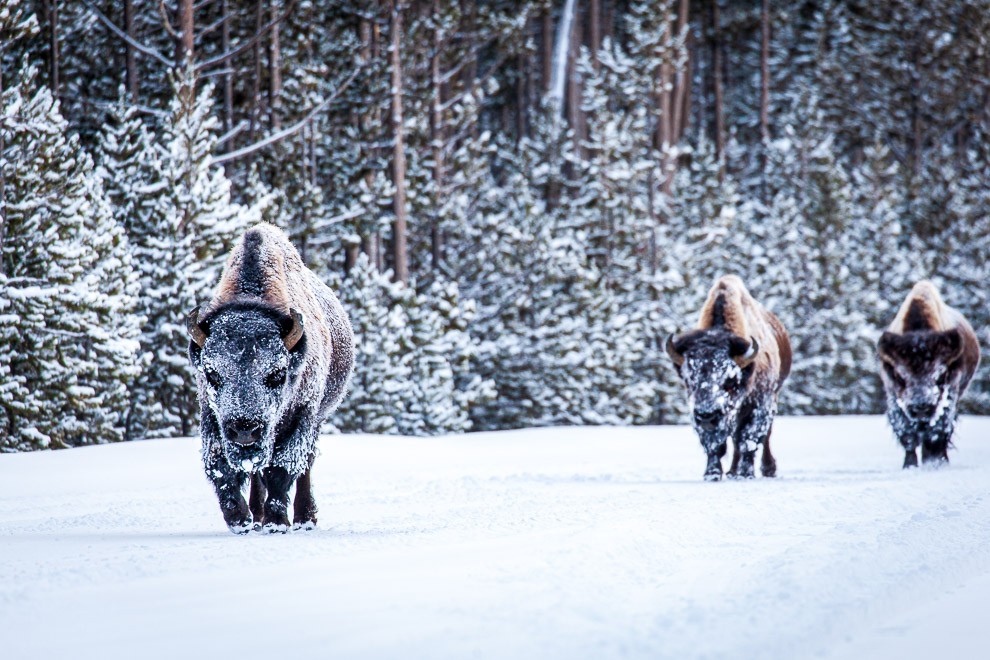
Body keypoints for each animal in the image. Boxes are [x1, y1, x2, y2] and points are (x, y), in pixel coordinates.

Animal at [188, 224, 354, 532]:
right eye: (212, 374)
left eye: (276, 374)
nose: (244, 430)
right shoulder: (211, 415)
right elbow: (221, 467)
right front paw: (239, 518)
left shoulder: (302, 415)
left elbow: (282, 468)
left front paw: (277, 521)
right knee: (256, 472)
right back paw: (257, 515)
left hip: (316, 420)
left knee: (304, 464)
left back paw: (303, 518)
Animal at [664, 276, 796, 482]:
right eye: (689, 380)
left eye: (730, 381)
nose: (707, 415)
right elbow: (716, 443)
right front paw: (712, 474)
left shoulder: (761, 403)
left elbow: (749, 439)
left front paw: (747, 474)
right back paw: (733, 471)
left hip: (773, 397)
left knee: (764, 435)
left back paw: (767, 469)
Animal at [880, 282, 980, 466]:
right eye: (900, 376)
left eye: (940, 375)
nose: (921, 406)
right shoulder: (893, 396)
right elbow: (907, 434)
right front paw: (909, 465)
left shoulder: (949, 395)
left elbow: (938, 431)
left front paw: (934, 461)